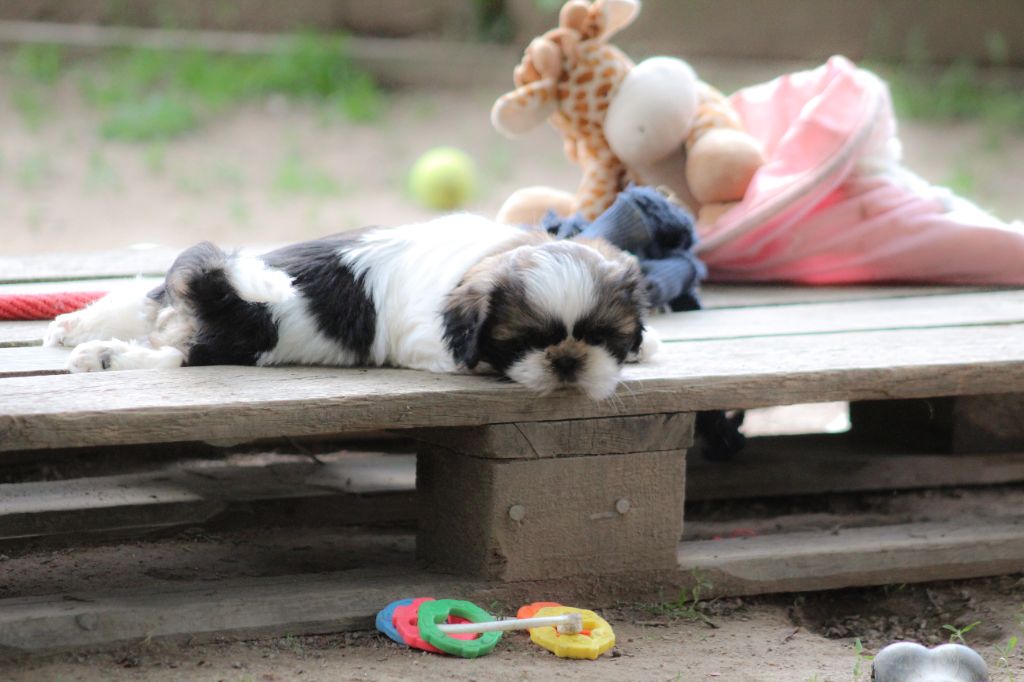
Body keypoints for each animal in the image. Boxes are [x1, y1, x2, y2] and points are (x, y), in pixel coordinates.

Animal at [45, 214, 660, 400]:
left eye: (602, 337)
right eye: (528, 341)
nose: (568, 361)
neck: (484, 257)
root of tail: (223, 287)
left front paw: (645, 344)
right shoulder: (431, 341)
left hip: (172, 299)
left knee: (142, 301)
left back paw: (77, 329)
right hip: (219, 343)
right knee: (169, 357)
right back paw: (103, 357)